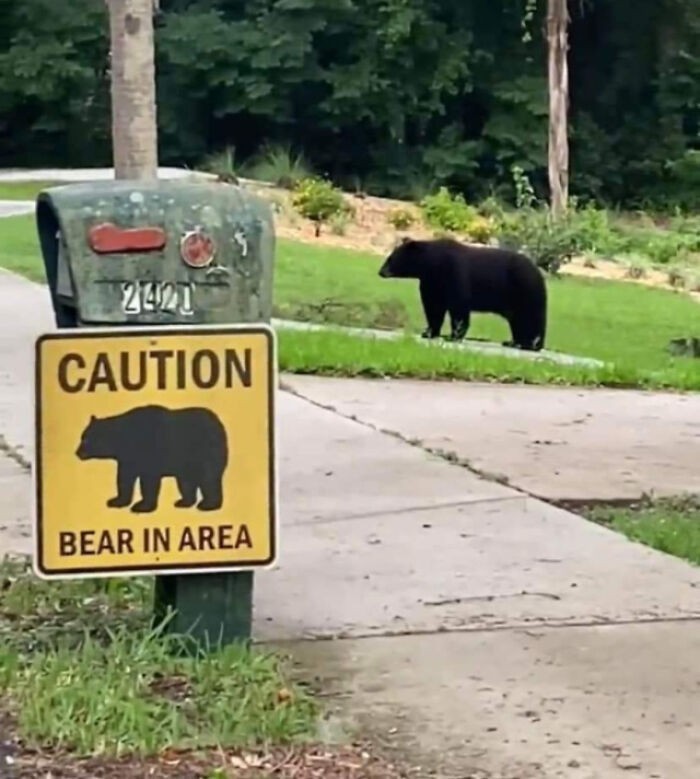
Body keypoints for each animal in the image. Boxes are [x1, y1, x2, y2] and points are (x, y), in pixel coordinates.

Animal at [76, 406, 230, 516]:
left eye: (86, 439)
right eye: (82, 437)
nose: (77, 452)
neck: (125, 438)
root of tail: (219, 423)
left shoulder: (149, 452)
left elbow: (148, 481)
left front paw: (142, 506)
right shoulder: (127, 459)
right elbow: (124, 478)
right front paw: (116, 501)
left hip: (206, 452)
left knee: (209, 479)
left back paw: (208, 505)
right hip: (187, 465)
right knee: (186, 482)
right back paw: (184, 502)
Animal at [378, 235, 548, 350]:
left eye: (391, 258)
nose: (381, 272)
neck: (433, 264)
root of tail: (539, 273)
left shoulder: (453, 272)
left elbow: (458, 305)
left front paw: (454, 336)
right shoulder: (431, 283)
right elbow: (433, 306)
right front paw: (429, 332)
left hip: (525, 290)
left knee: (530, 318)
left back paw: (530, 344)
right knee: (518, 321)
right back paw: (513, 342)